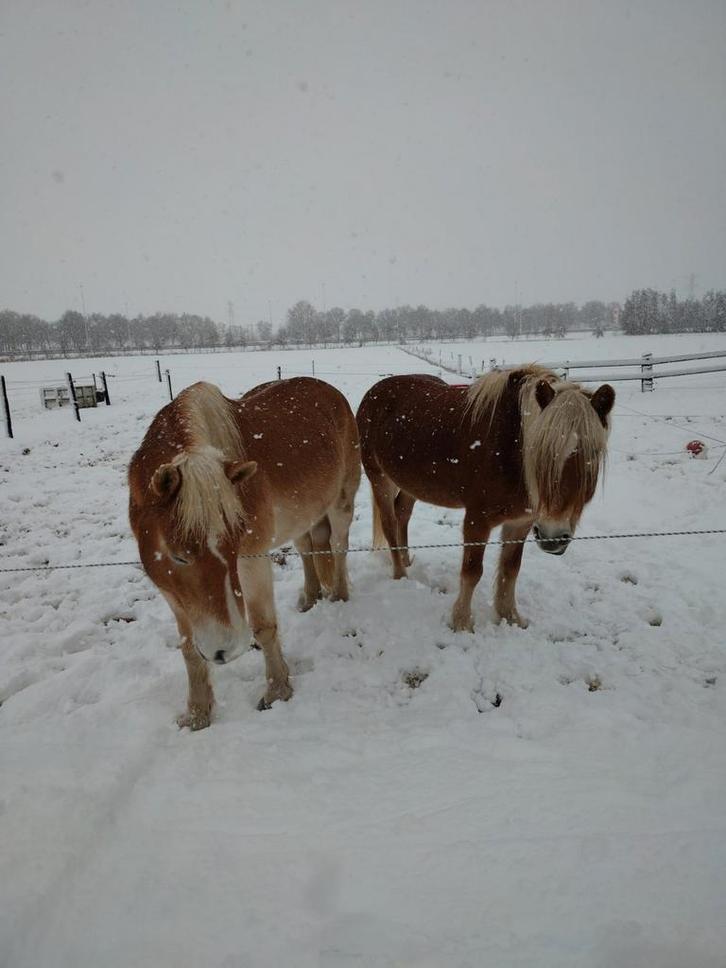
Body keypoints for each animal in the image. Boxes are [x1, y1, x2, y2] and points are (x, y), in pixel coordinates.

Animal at [129, 377, 360, 730]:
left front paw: (278, 692)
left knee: (338, 547)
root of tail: (331, 391)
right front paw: (197, 714)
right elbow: (188, 648)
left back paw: (339, 596)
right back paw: (310, 598)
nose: (226, 650)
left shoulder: (252, 562)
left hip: (341, 504)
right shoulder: (169, 589)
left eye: (235, 545)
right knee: (308, 550)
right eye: (179, 556)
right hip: (301, 519)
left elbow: (264, 627)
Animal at [356, 366, 614, 632]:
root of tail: (373, 393)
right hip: (380, 479)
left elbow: (510, 570)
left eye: (593, 455)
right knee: (389, 523)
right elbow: (472, 571)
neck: (511, 448)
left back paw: (407, 561)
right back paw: (400, 574)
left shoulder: (520, 523)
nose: (553, 538)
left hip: (411, 485)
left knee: (402, 514)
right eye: (540, 450)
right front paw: (462, 622)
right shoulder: (477, 521)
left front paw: (510, 617)